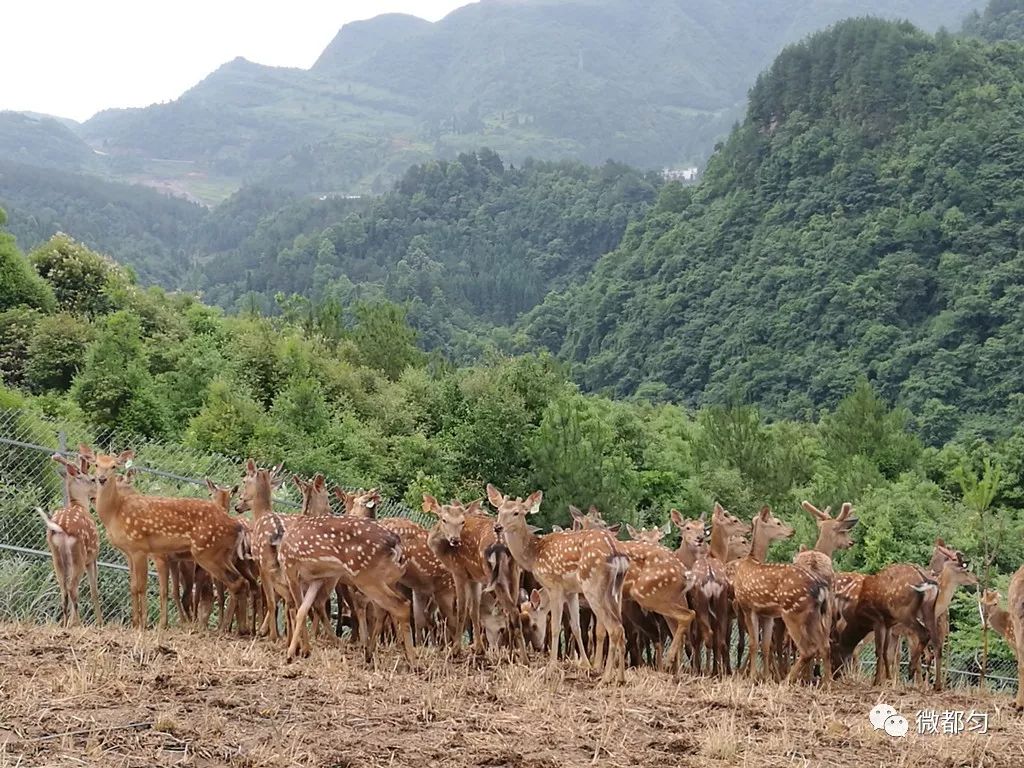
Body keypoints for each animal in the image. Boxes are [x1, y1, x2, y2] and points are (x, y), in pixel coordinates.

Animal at [37, 454, 104, 626]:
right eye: (92, 479)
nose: (96, 495)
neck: (79, 505)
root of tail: (61, 528)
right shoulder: (92, 557)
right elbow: (94, 590)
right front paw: (100, 623)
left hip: (56, 556)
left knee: (64, 590)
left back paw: (65, 624)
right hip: (78, 554)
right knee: (72, 588)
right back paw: (77, 623)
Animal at [80, 444, 253, 630]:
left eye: (113, 466)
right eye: (96, 464)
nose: (101, 479)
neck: (115, 513)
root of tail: (237, 526)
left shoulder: (140, 548)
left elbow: (142, 587)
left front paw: (144, 624)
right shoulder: (130, 552)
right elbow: (133, 587)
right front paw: (136, 623)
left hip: (207, 553)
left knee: (234, 584)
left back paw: (228, 628)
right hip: (222, 555)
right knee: (241, 583)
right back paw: (238, 629)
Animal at [487, 487, 630, 684]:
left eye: (516, 512)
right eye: (499, 510)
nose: (498, 527)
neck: (534, 554)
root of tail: (617, 553)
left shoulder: (554, 585)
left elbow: (555, 628)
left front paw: (551, 669)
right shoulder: (571, 591)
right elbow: (576, 627)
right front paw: (585, 666)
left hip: (593, 587)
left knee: (614, 628)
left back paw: (606, 678)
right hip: (616, 590)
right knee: (621, 629)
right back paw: (621, 678)